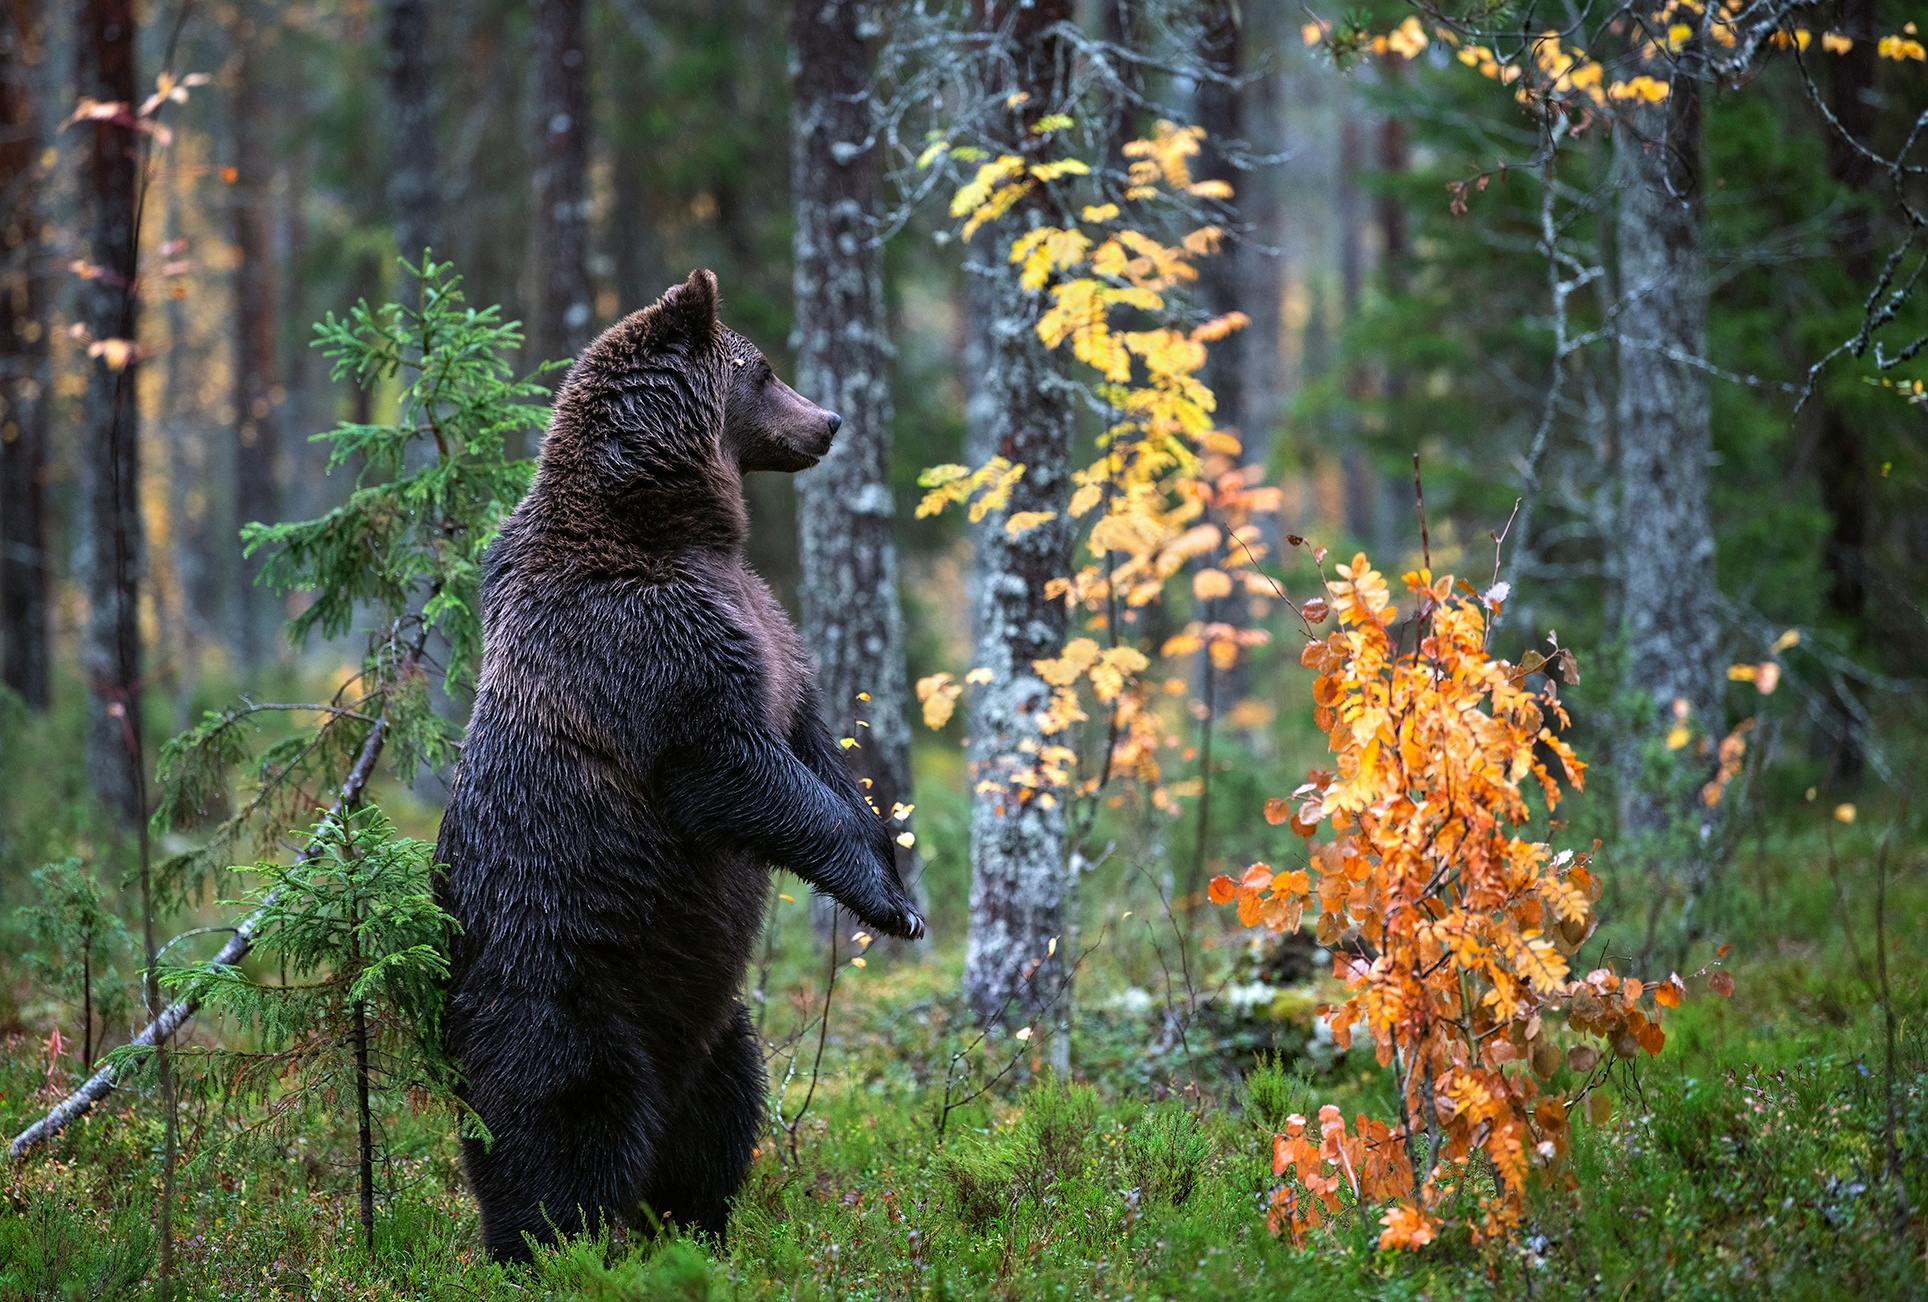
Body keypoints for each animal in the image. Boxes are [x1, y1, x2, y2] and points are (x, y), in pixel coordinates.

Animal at [437, 271, 917, 1265]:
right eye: (764, 369)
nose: (831, 420)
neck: (673, 526)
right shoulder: (646, 643)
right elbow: (732, 765)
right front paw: (885, 900)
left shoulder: (769, 628)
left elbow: (811, 746)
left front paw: (893, 875)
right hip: (561, 987)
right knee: (563, 1125)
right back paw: (550, 1249)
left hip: (713, 1018)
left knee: (722, 1116)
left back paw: (694, 1230)